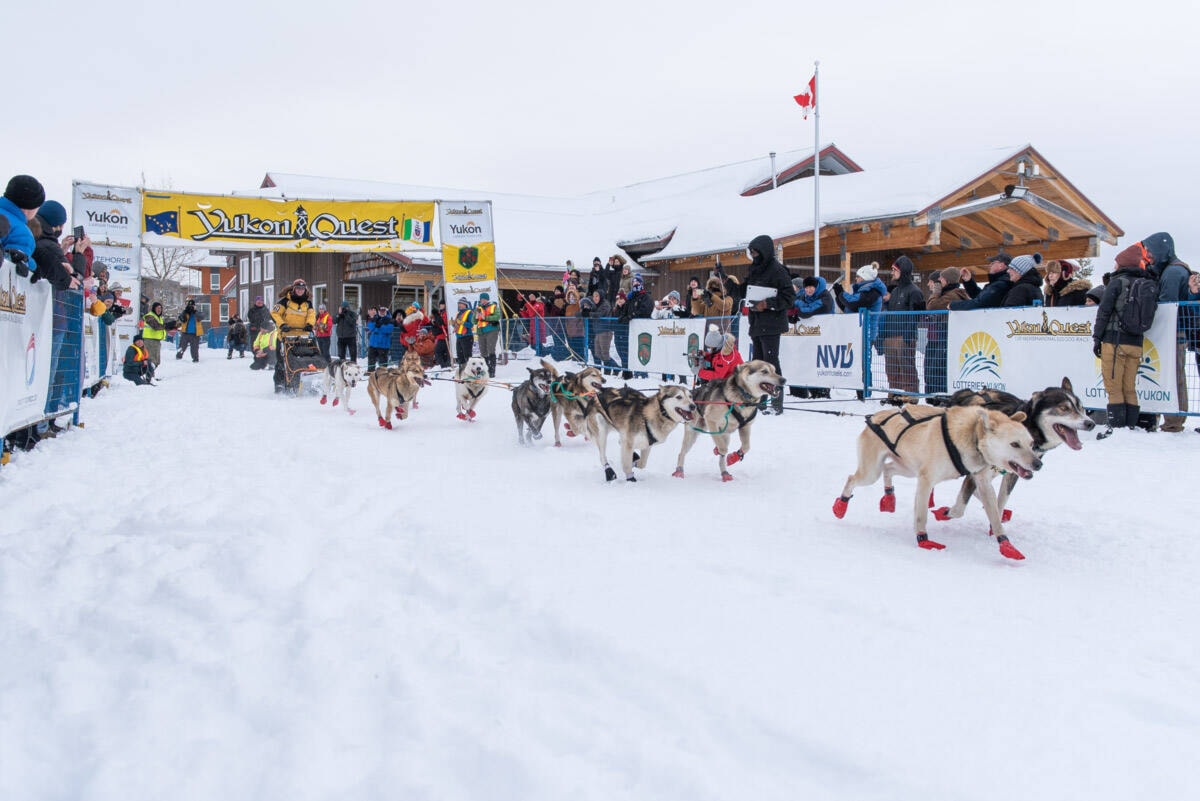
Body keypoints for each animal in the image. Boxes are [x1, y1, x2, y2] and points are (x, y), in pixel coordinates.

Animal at [835, 402, 1041, 561]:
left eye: (1031, 443)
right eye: (1014, 444)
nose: (1038, 464)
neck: (972, 436)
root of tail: (875, 417)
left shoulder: (981, 481)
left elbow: (994, 517)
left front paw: (1007, 545)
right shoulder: (926, 480)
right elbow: (921, 515)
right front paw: (923, 539)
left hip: (908, 469)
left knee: (888, 469)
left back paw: (889, 498)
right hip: (871, 473)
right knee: (852, 478)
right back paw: (841, 505)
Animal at [936, 376, 1099, 522]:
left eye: (1081, 408)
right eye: (1064, 408)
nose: (1090, 423)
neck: (1028, 428)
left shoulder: (1013, 472)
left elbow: (1000, 502)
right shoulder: (976, 472)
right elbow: (959, 509)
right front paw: (948, 512)